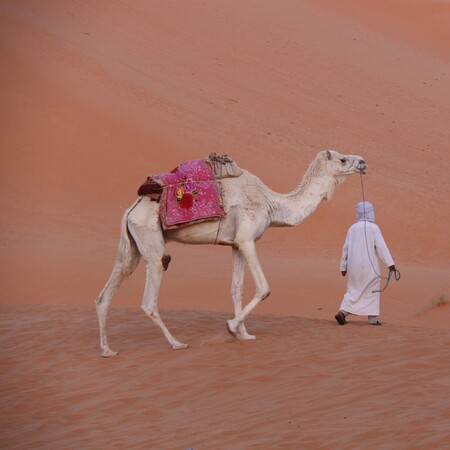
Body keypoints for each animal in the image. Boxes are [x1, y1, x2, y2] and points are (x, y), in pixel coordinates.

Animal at [95, 150, 366, 356]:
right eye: (342, 159)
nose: (363, 162)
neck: (271, 204)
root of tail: (131, 209)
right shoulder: (247, 239)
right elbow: (264, 287)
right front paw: (232, 327)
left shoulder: (235, 244)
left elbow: (237, 289)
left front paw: (243, 334)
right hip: (151, 238)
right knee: (152, 291)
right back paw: (176, 343)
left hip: (132, 245)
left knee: (107, 291)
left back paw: (107, 350)